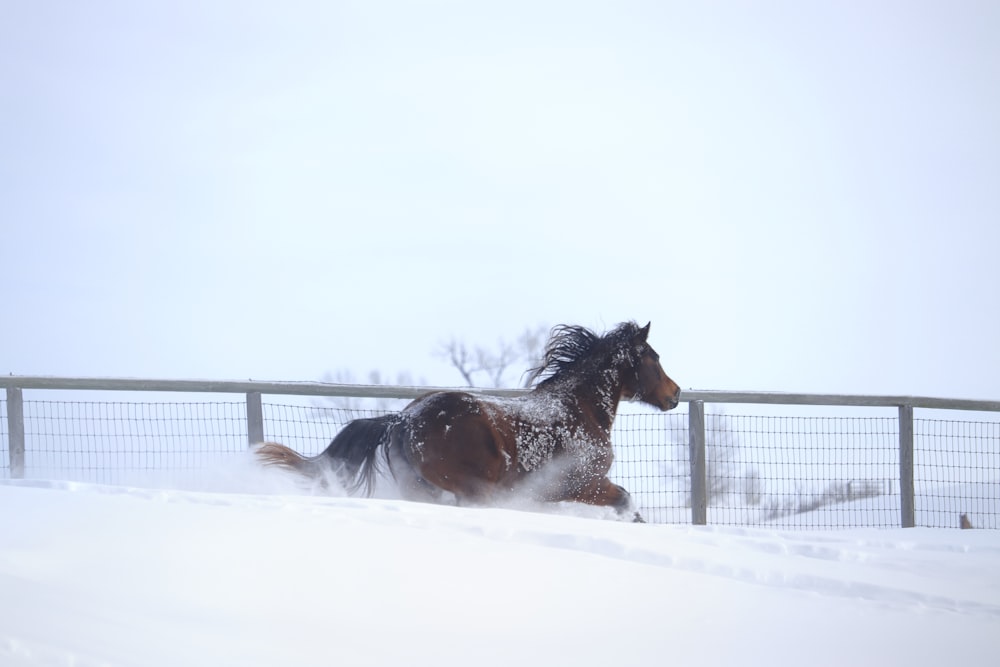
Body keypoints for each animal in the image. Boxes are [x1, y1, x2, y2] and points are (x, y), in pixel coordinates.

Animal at [256, 322, 680, 520]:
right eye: (654, 357)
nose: (675, 394)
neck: (579, 409)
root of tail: (404, 419)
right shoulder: (583, 484)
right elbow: (626, 502)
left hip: (423, 490)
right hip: (475, 491)